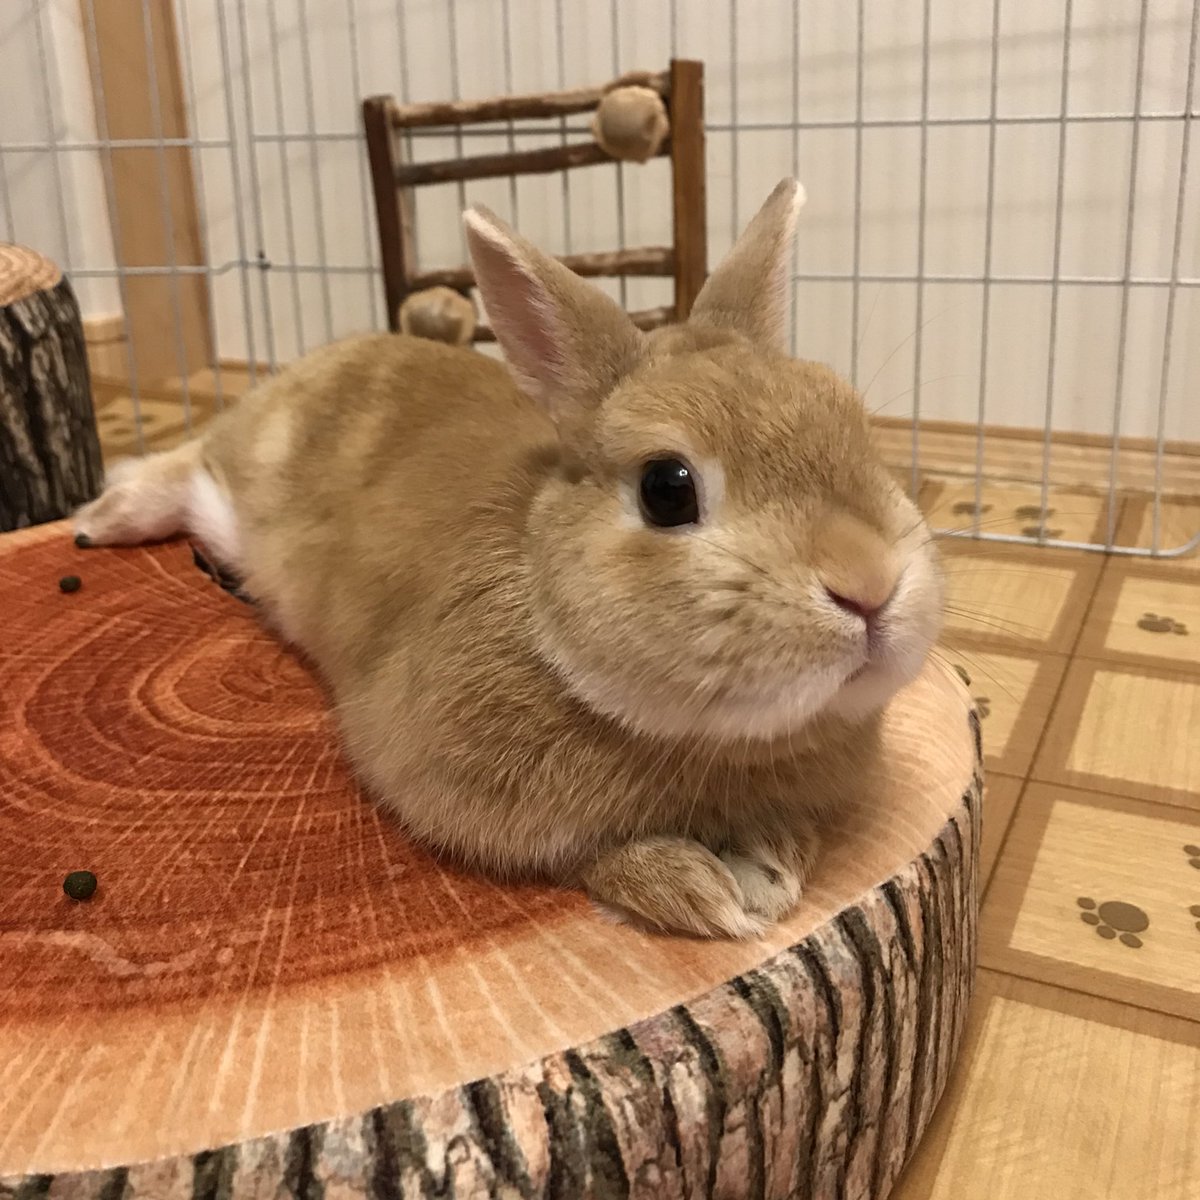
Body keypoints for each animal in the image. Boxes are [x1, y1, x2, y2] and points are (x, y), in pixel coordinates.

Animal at [73, 180, 943, 939]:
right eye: (667, 489)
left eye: (856, 428)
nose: (870, 586)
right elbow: (584, 855)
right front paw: (697, 889)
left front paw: (773, 863)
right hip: (240, 478)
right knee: (186, 463)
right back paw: (102, 519)